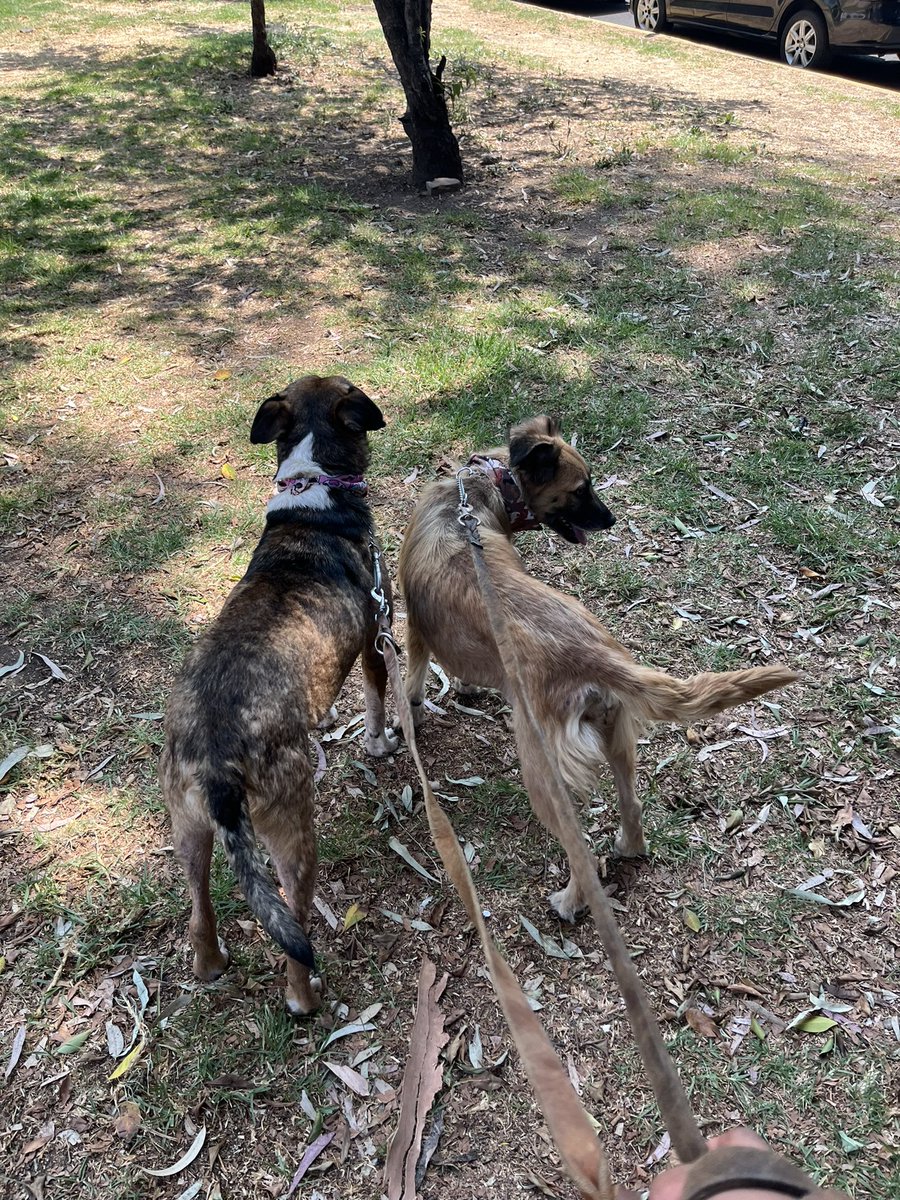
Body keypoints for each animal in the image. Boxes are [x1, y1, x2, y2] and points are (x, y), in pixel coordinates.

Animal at [159, 374, 398, 1012]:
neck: (310, 495)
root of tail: (217, 763)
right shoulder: (374, 636)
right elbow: (377, 696)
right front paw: (380, 742)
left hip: (188, 830)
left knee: (199, 912)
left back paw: (212, 965)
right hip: (294, 834)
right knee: (295, 931)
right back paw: (304, 998)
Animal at [398, 417, 801, 921]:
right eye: (581, 488)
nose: (609, 520)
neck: (477, 491)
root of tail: (597, 656)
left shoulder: (415, 630)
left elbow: (412, 683)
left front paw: (411, 717)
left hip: (542, 771)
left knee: (581, 852)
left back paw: (570, 901)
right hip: (618, 740)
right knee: (633, 807)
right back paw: (630, 849)